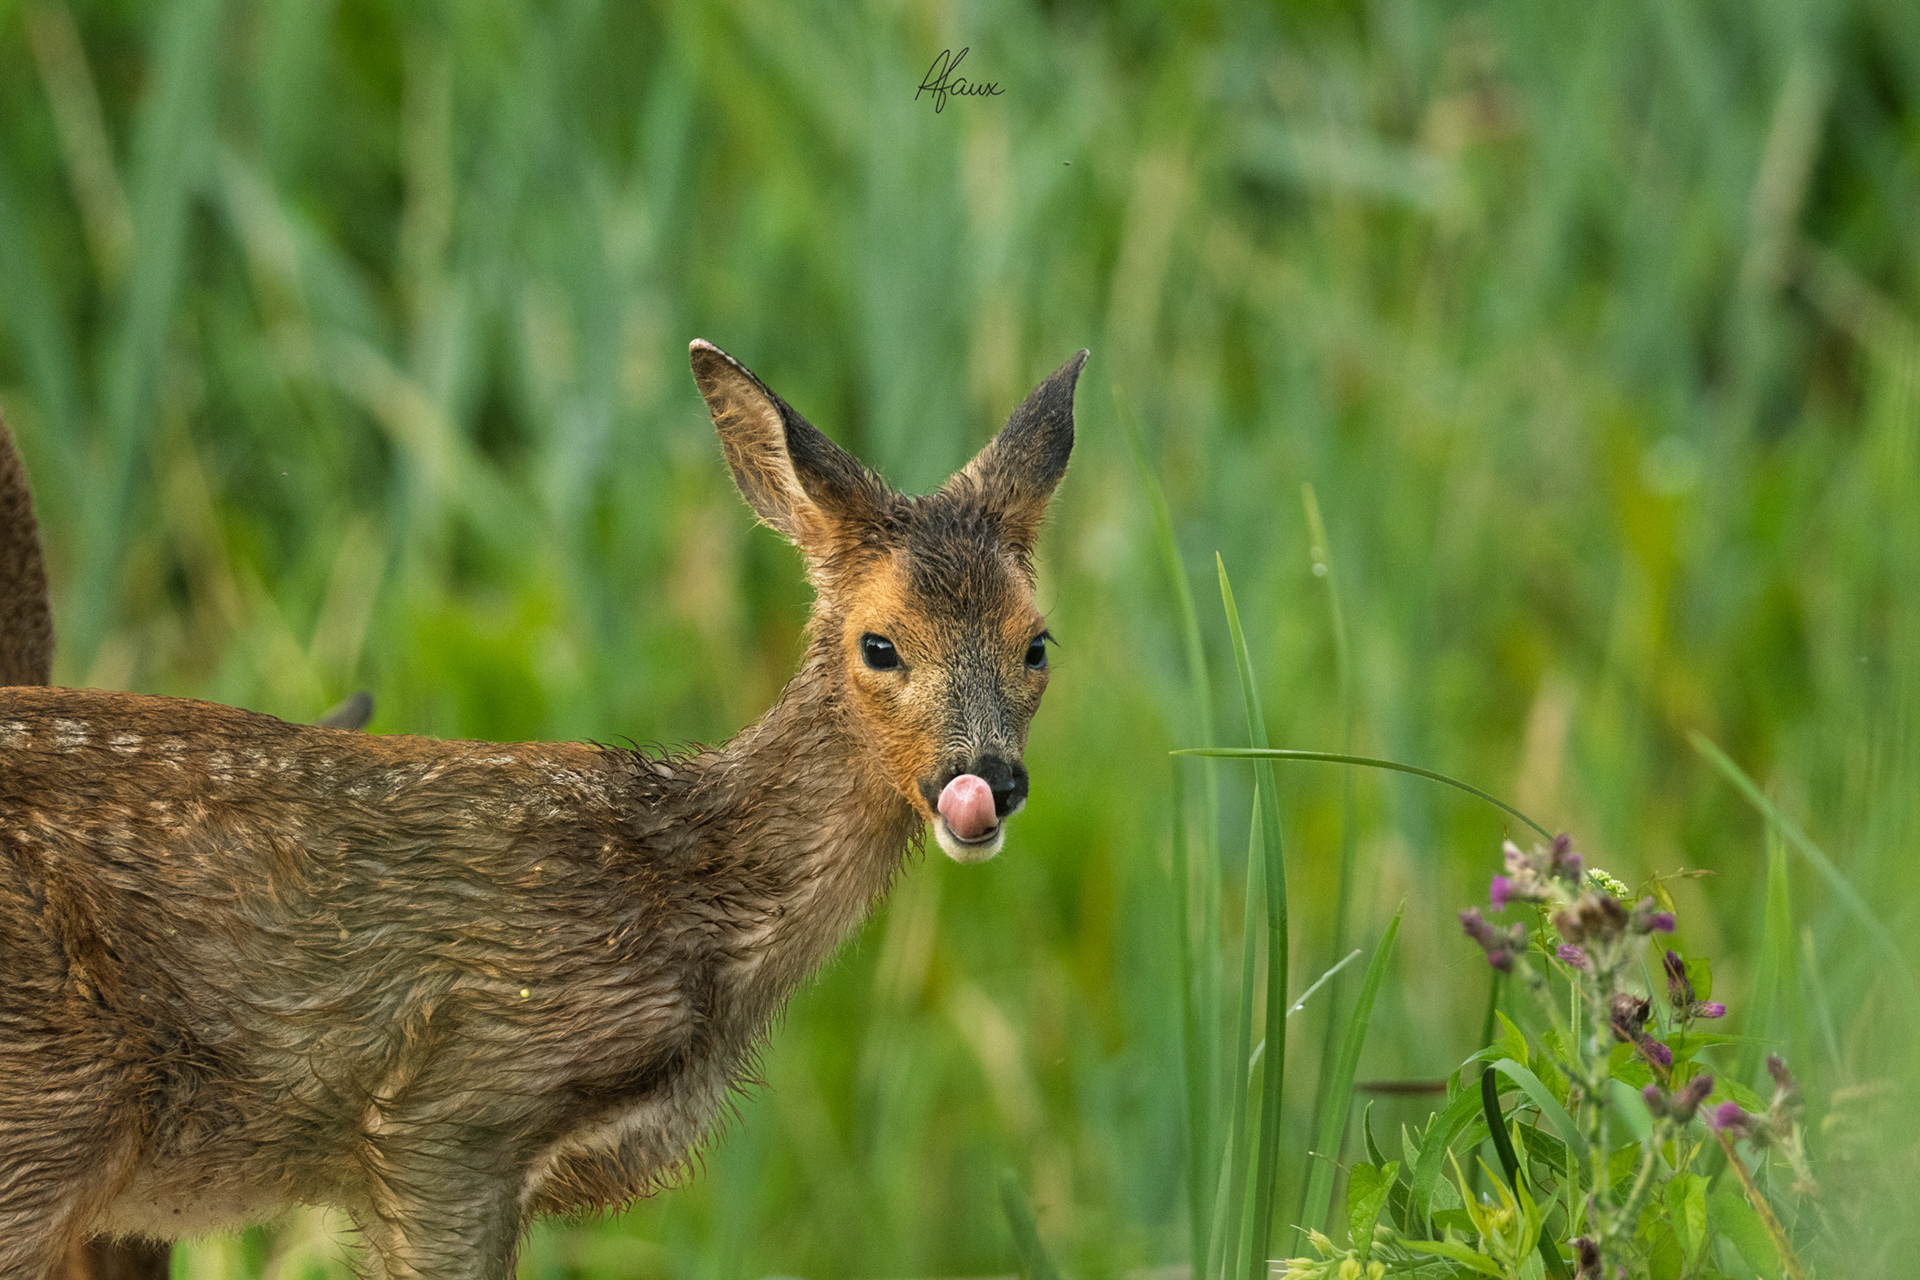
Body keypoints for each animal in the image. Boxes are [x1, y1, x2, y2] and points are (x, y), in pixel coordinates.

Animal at [0, 340, 1086, 1278]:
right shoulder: (454, 1097)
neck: (691, 896)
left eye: (1037, 642)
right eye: (879, 644)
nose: (984, 779)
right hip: (51, 1100)